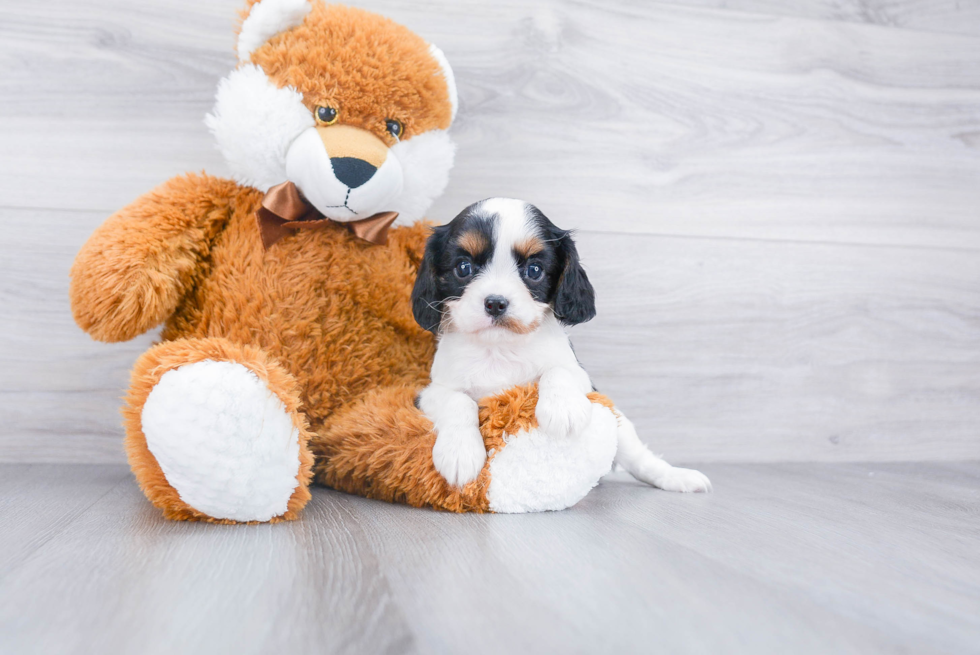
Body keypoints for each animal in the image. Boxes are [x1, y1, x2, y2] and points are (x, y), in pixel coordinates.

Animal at [410, 200, 708, 492]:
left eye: (534, 270)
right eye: (463, 268)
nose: (495, 303)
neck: (500, 348)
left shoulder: (583, 379)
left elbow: (558, 371)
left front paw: (563, 410)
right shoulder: (430, 392)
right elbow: (457, 401)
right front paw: (460, 453)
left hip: (619, 424)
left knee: (639, 458)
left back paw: (678, 477)